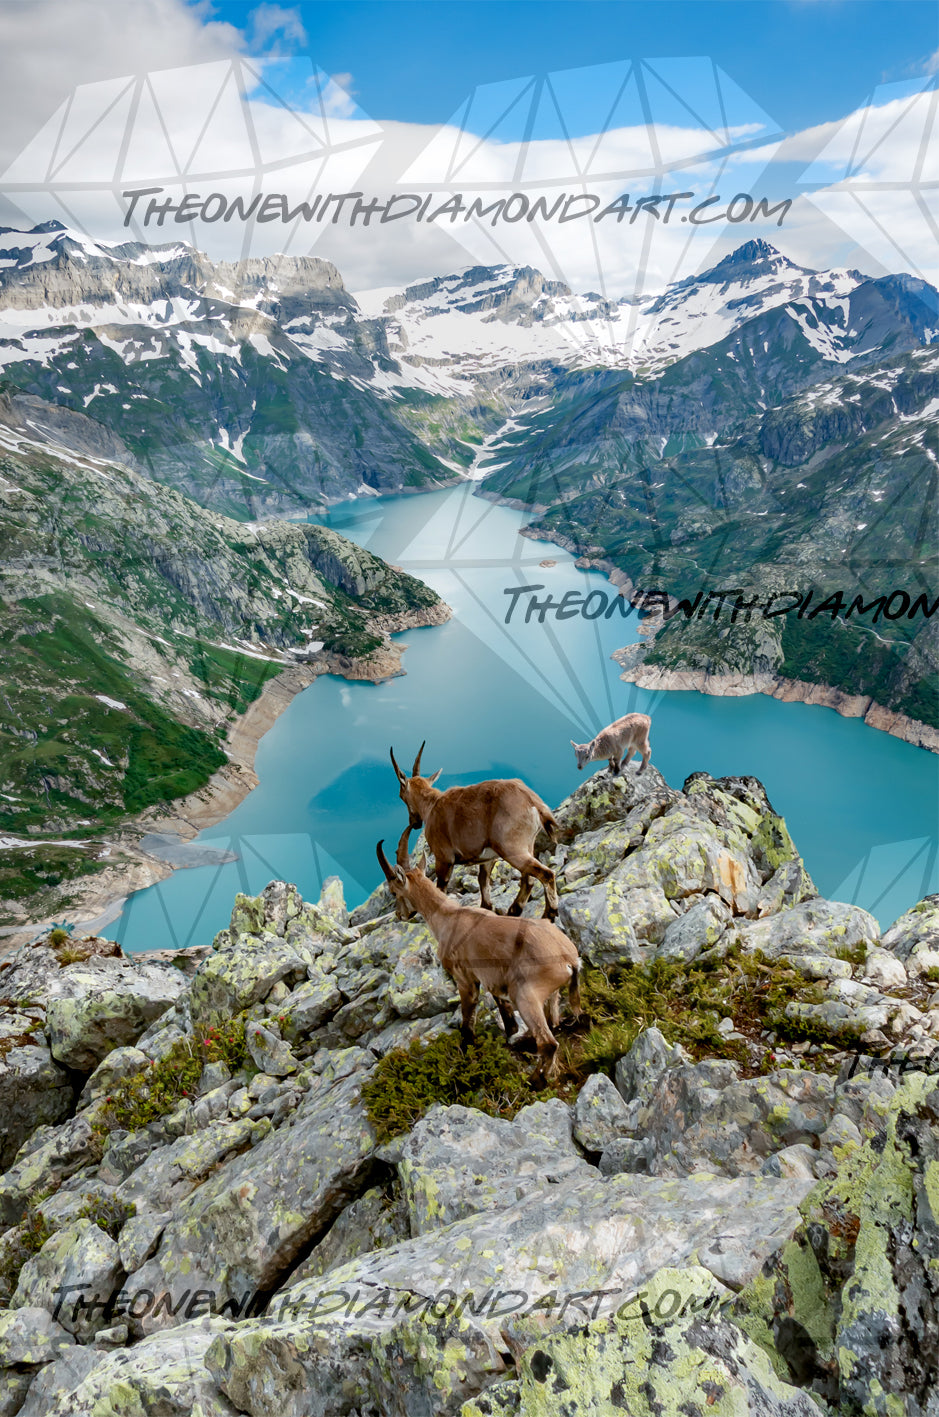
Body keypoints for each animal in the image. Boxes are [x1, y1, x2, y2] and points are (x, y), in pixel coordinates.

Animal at [376, 830, 581, 1082]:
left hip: (526, 995)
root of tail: (570, 959)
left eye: (394, 891)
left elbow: (467, 1024)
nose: (400, 914)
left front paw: (464, 1059)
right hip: (549, 995)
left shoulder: (465, 979)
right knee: (554, 1024)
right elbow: (505, 1013)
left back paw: (535, 1081)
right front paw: (511, 1036)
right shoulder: (493, 981)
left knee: (549, 1043)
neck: (448, 916)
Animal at [389, 742, 559, 920]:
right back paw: (514, 911)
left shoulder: (444, 858)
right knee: (529, 879)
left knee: (546, 874)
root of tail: (534, 802)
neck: (431, 806)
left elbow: (440, 888)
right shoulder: (487, 858)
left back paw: (549, 914)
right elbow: (483, 885)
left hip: (512, 849)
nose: (414, 823)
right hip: (527, 846)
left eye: (401, 795)